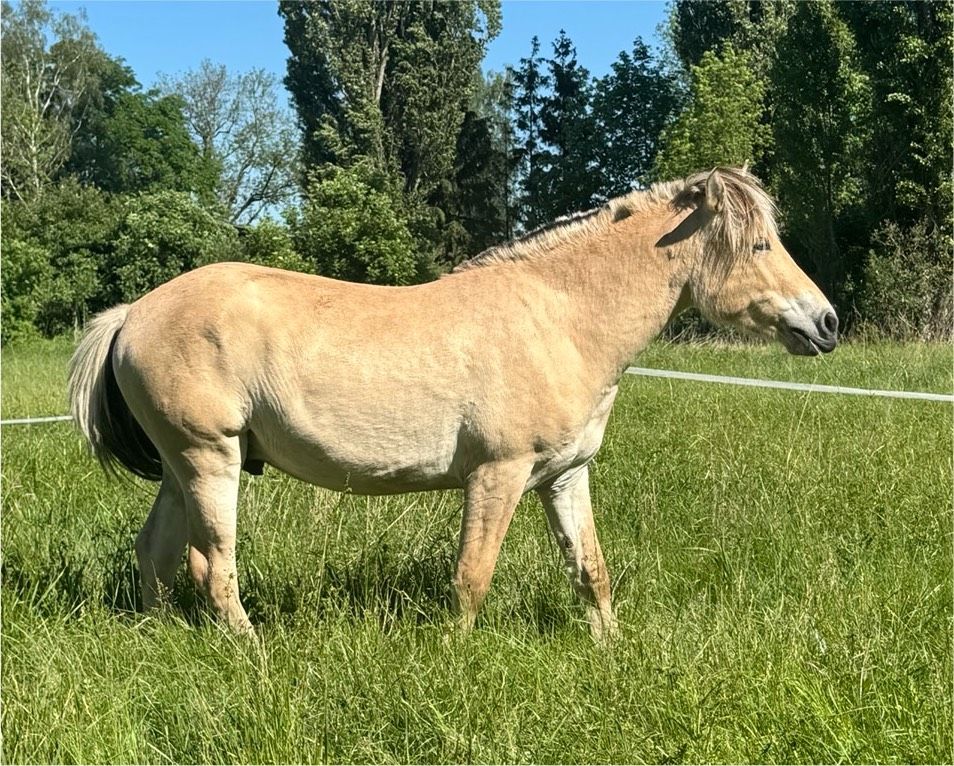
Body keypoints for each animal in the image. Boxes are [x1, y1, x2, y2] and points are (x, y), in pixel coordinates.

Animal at [70, 168, 836, 640]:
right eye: (759, 244)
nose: (826, 323)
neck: (559, 318)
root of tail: (133, 314)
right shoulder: (497, 475)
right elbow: (471, 579)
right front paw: (454, 656)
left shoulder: (564, 476)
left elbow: (591, 571)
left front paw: (612, 651)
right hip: (210, 460)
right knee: (212, 568)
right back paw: (252, 653)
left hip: (183, 468)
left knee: (156, 555)